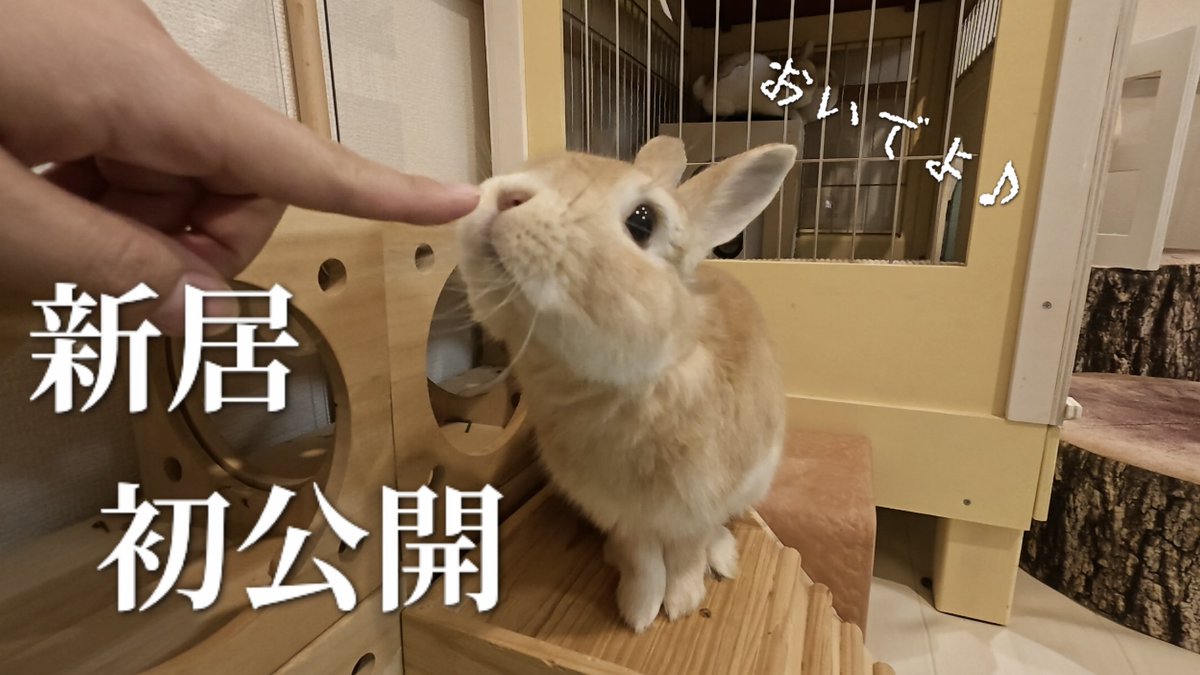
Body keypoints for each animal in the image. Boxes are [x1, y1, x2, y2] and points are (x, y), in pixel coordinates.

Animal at [455, 135, 791, 633]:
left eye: (643, 221)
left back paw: (722, 557)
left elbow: (687, 551)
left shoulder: (696, 506)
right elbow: (642, 560)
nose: (505, 197)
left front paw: (682, 602)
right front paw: (639, 610)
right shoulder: (622, 515)